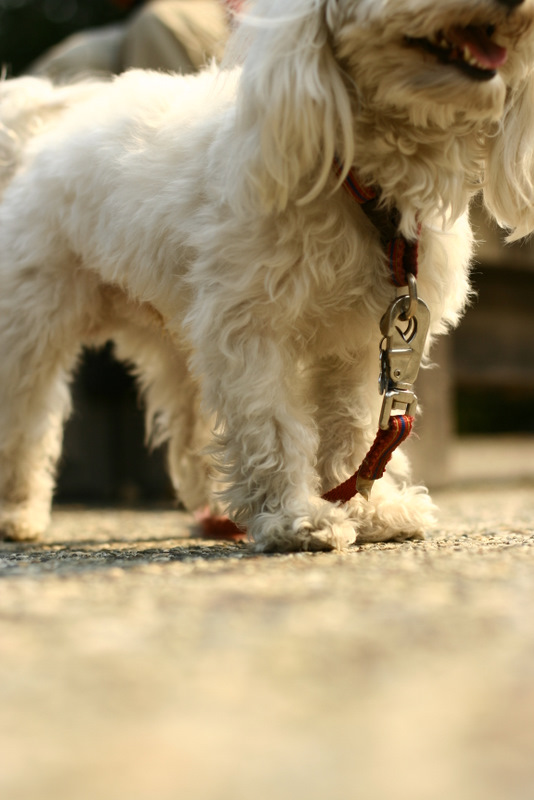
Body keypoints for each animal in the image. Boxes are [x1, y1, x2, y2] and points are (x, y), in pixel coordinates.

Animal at [1, 0, 534, 552]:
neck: (359, 182)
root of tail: (40, 138)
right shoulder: (248, 326)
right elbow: (273, 422)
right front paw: (297, 517)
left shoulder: (364, 338)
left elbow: (355, 423)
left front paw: (368, 509)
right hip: (32, 324)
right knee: (24, 423)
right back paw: (18, 514)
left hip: (177, 338)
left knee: (192, 435)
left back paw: (222, 512)